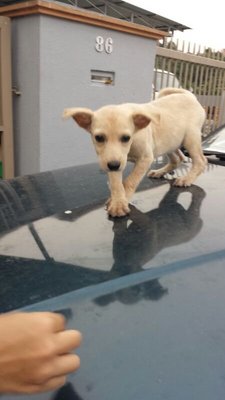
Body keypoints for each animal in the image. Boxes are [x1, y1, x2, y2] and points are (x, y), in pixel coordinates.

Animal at [63, 88, 207, 217]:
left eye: (126, 138)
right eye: (98, 138)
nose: (113, 165)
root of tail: (189, 95)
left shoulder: (145, 158)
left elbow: (130, 181)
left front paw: (122, 201)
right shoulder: (113, 161)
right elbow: (116, 183)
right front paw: (118, 202)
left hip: (190, 138)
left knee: (201, 160)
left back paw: (186, 179)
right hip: (169, 142)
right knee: (177, 158)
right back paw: (160, 172)